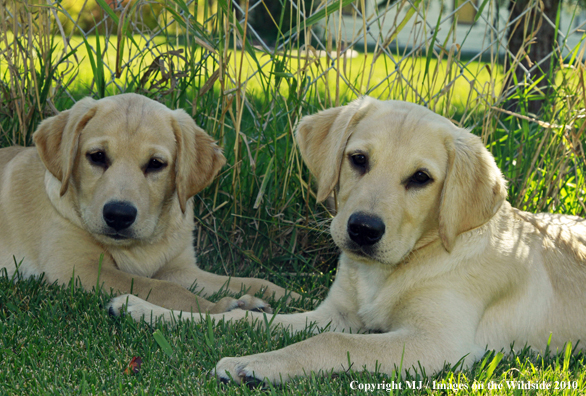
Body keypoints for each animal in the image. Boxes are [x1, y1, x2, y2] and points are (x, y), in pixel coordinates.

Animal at [1, 93, 296, 316]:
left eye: (156, 164)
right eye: (97, 156)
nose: (119, 215)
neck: (140, 247)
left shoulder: (179, 268)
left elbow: (248, 281)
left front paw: (287, 294)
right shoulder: (77, 268)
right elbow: (162, 289)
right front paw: (220, 308)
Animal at [107, 96, 584, 384]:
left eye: (421, 178)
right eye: (358, 159)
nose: (363, 229)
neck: (392, 269)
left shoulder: (438, 344)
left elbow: (332, 343)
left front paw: (252, 364)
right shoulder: (335, 314)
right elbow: (244, 319)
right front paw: (145, 309)